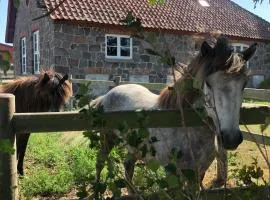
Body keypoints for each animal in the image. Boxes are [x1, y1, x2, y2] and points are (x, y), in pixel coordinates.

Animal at [89, 36, 256, 191]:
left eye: (244, 84)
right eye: (208, 83)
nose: (231, 138)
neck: (185, 129)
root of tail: (107, 95)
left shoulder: (198, 174)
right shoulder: (173, 173)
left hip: (133, 147)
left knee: (128, 167)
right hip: (107, 139)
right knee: (100, 162)